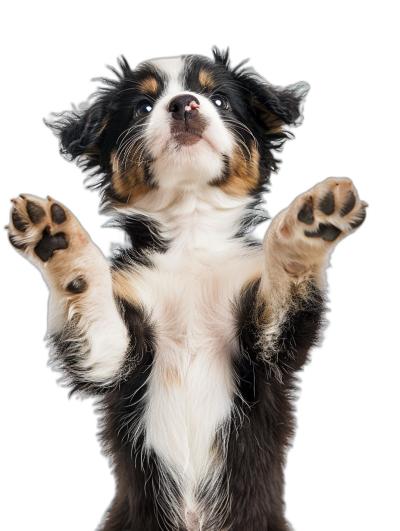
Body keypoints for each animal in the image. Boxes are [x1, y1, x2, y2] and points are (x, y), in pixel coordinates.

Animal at [7, 47, 368, 528]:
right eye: (143, 107)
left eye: (219, 100)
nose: (183, 105)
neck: (191, 230)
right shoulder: (113, 357)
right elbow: (92, 299)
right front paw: (60, 243)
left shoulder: (269, 345)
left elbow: (283, 276)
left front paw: (307, 227)